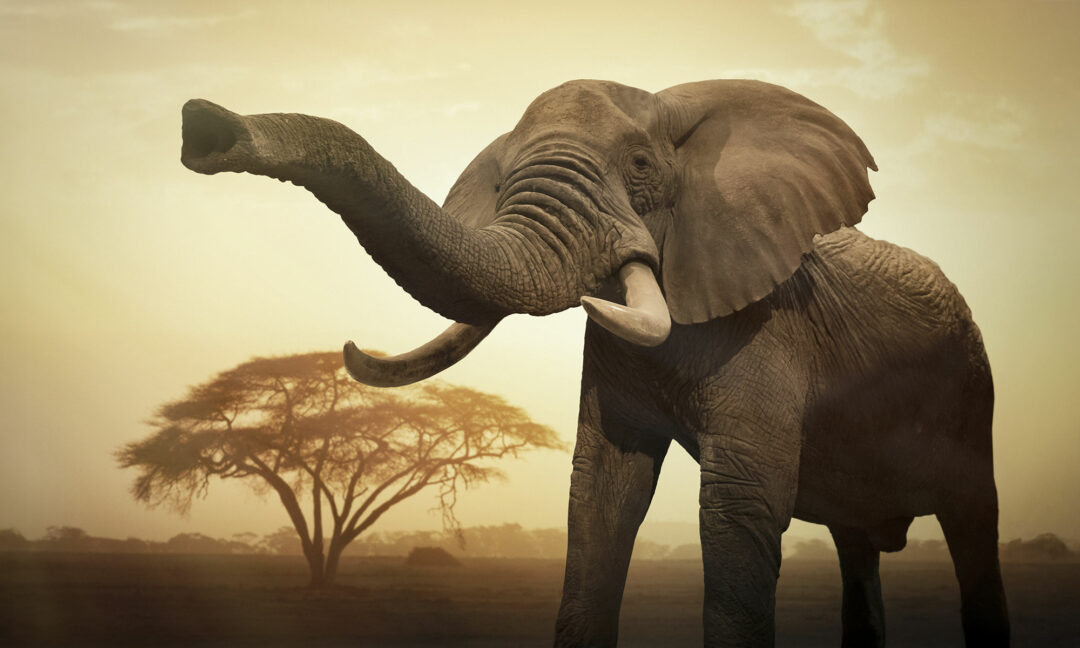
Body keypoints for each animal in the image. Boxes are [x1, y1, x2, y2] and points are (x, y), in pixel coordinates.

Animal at [180, 78, 1009, 647]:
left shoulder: (772, 329)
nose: (201, 127)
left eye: (641, 165)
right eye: (504, 180)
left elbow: (739, 504)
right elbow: (601, 497)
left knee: (973, 526)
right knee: (857, 548)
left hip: (972, 386)